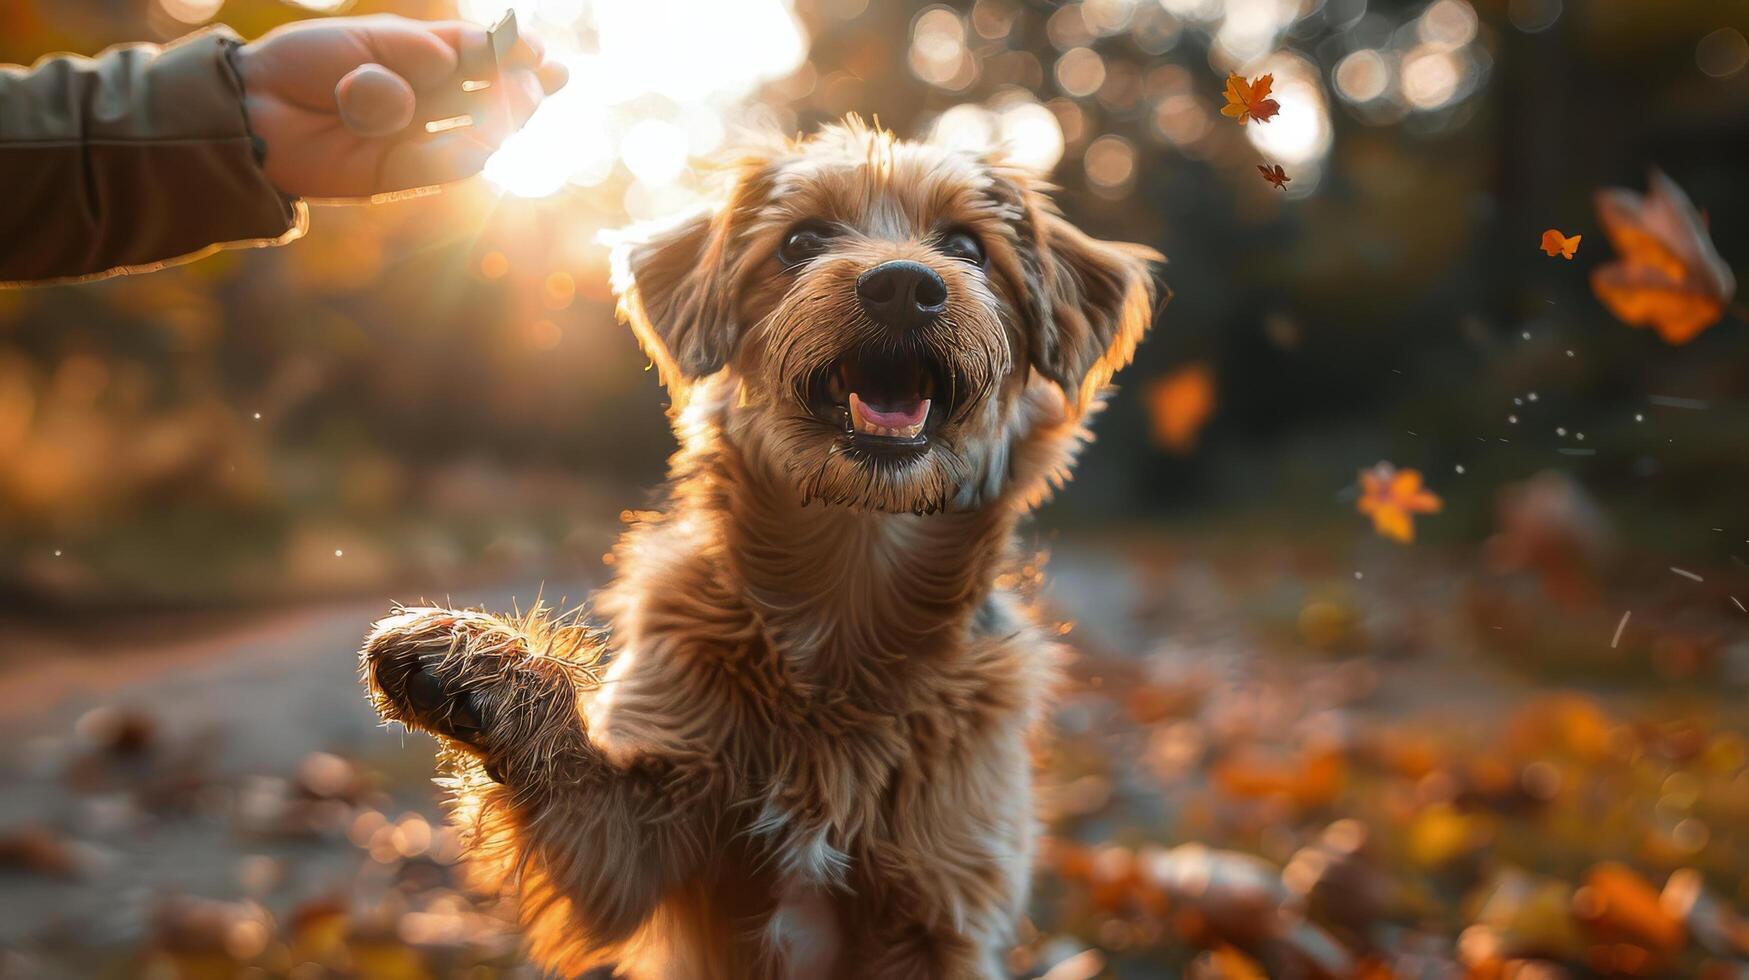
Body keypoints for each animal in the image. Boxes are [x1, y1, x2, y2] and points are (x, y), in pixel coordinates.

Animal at [358, 116, 1161, 980]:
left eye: (967, 247)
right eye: (801, 240)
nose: (902, 285)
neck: (848, 578)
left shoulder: (946, 906)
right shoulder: (633, 843)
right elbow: (576, 773)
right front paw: (475, 659)